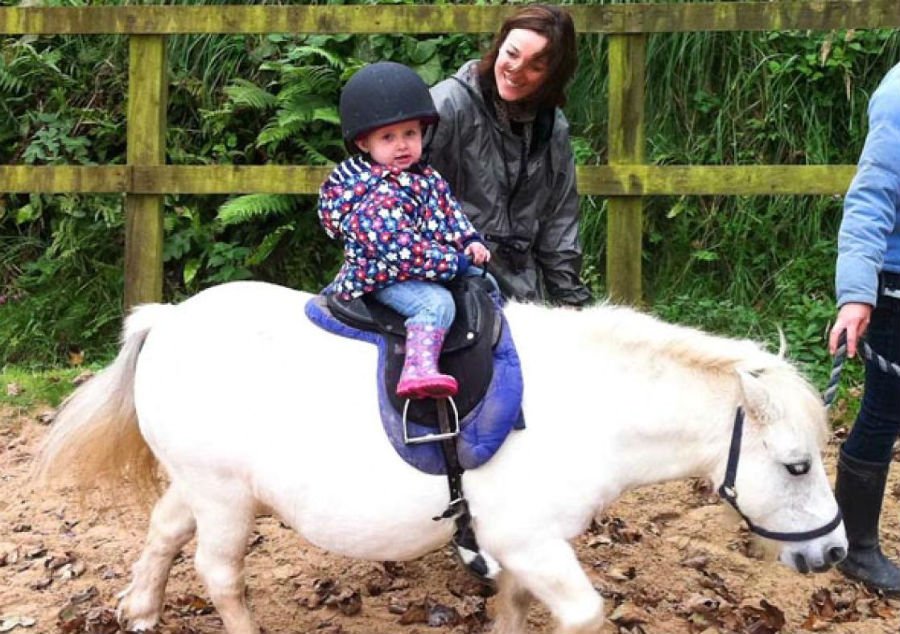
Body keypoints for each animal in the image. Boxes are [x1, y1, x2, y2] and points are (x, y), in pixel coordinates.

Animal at [35, 280, 848, 632]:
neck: (592, 407)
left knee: (164, 532)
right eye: (798, 465)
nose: (836, 552)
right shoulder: (533, 541)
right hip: (225, 498)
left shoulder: (516, 545)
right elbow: (584, 614)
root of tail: (166, 319)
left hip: (204, 486)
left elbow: (514, 608)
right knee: (219, 574)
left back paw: (141, 611)